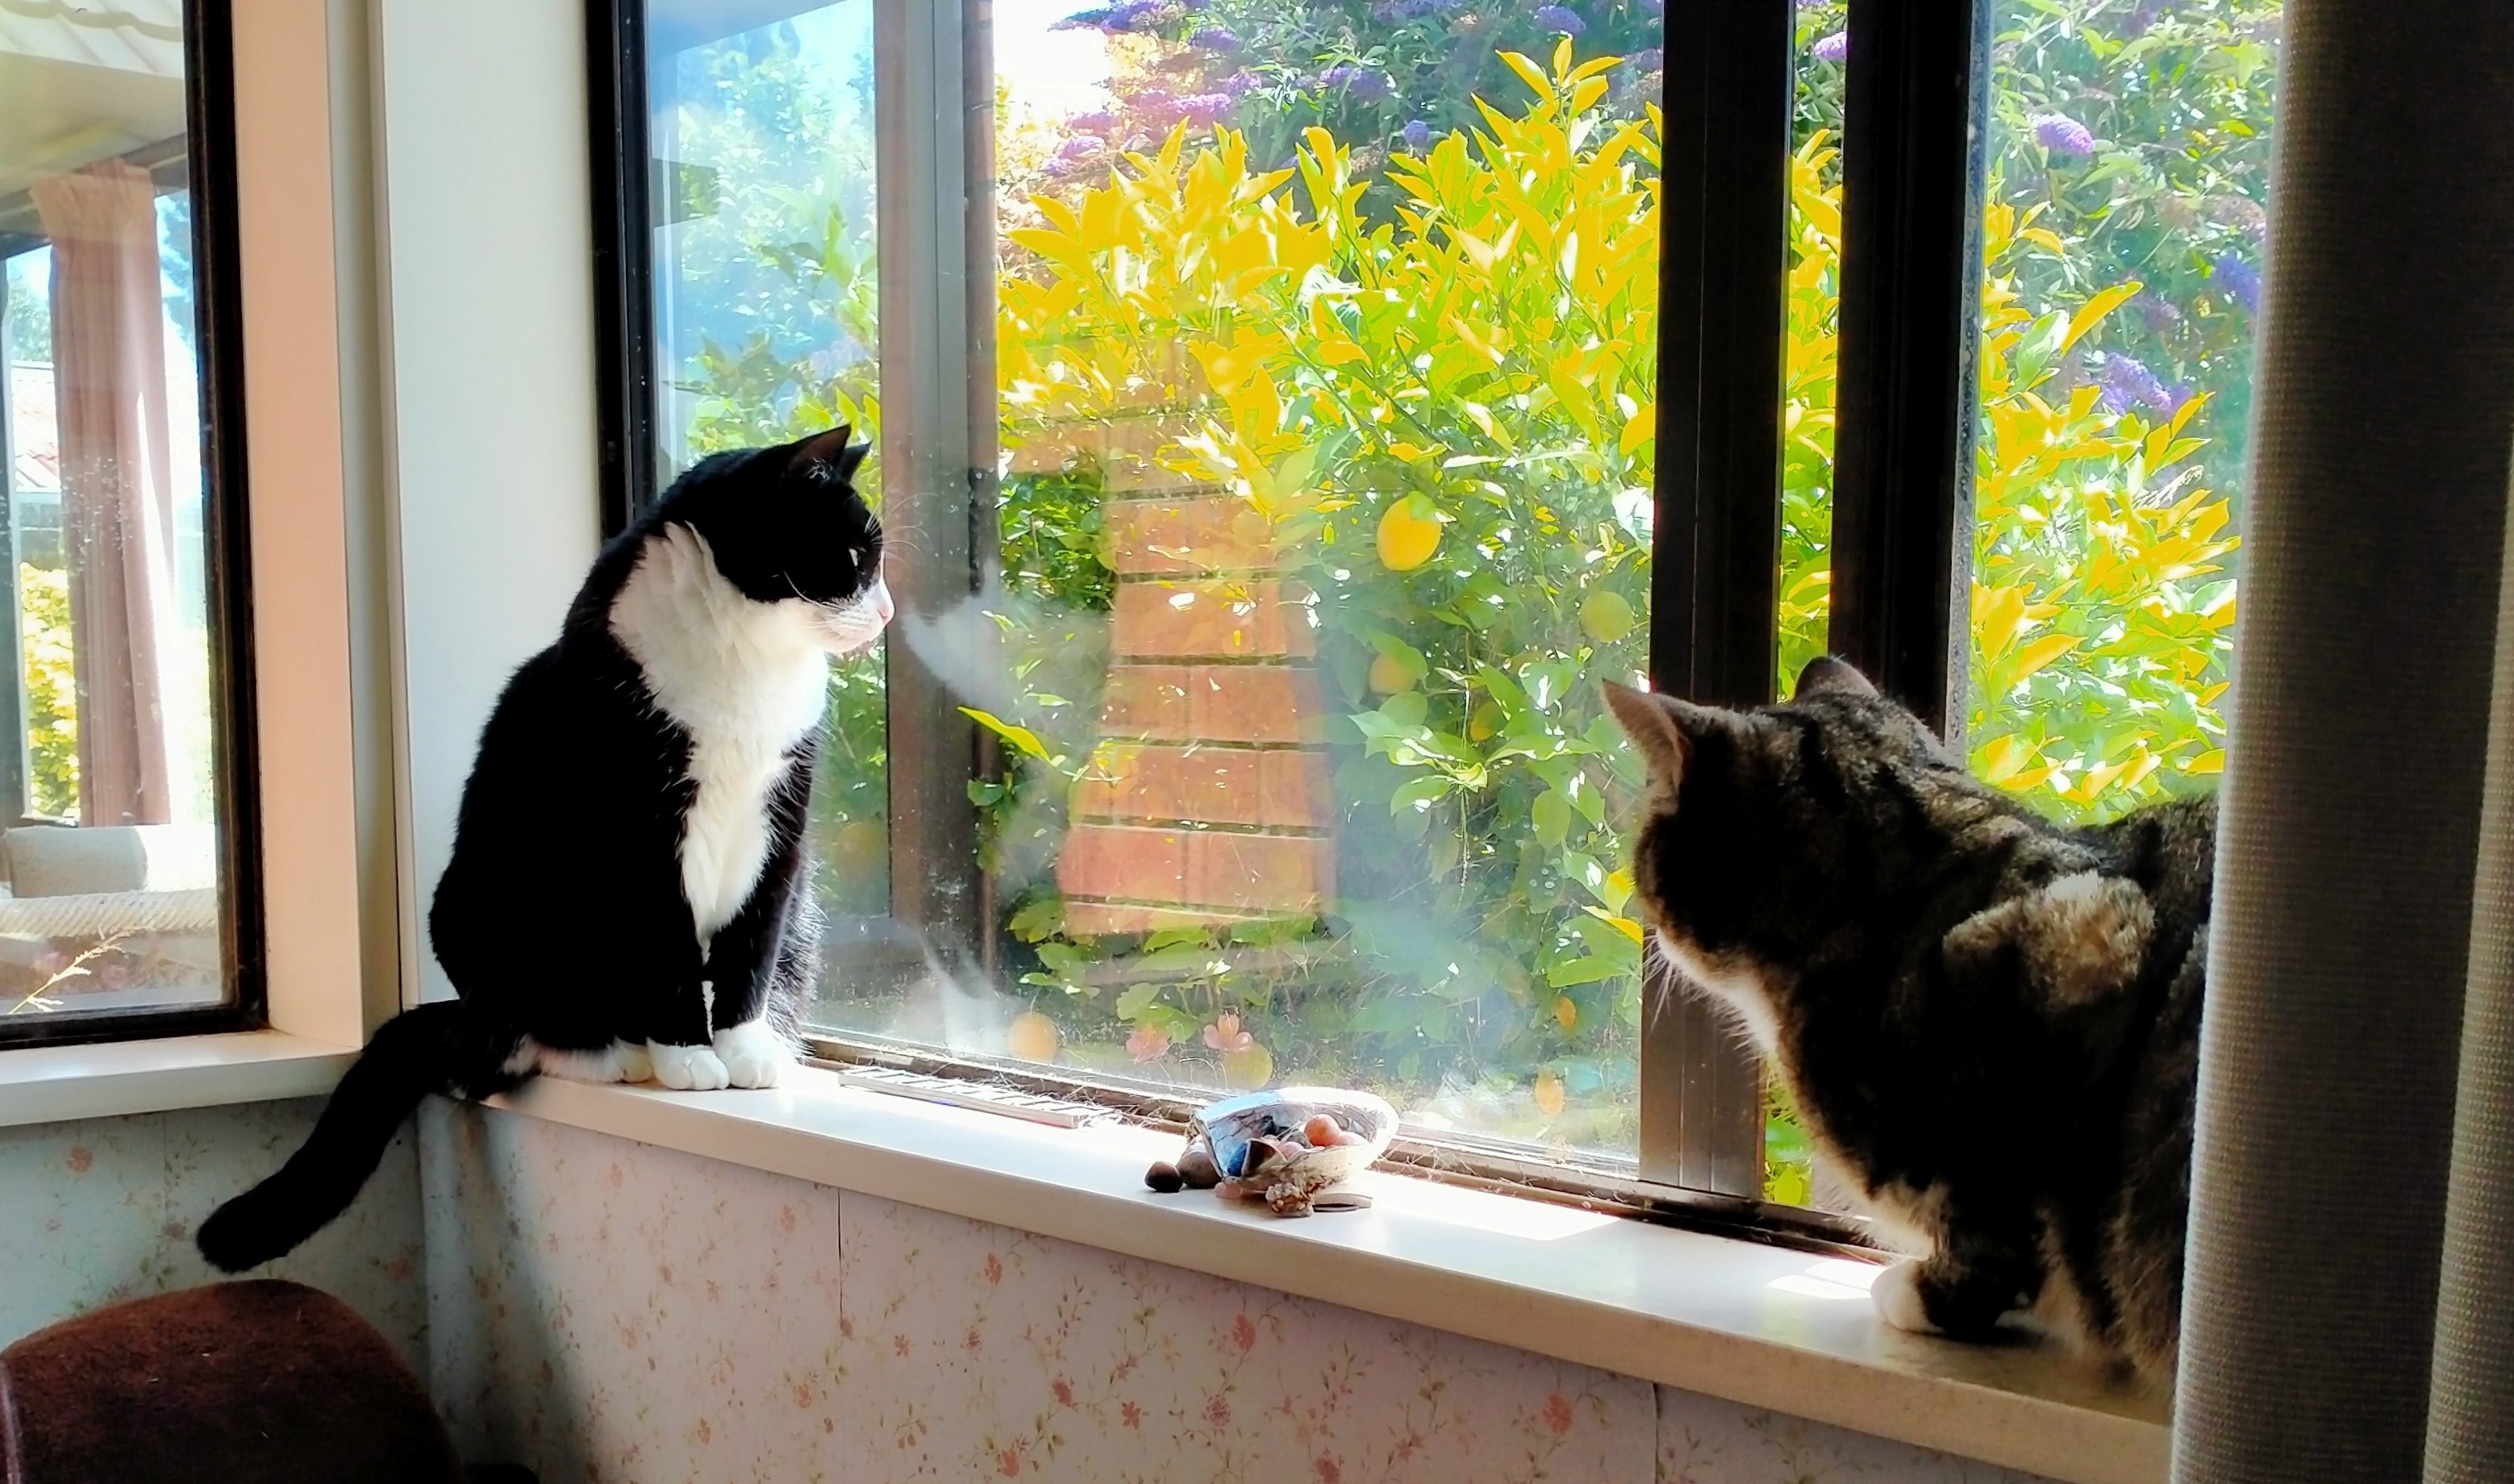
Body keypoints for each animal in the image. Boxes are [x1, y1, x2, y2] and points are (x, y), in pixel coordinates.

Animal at [196, 425, 890, 1273]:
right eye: (855, 555)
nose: (888, 611)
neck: (746, 668)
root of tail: (457, 1010)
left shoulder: (781, 824)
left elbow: (750, 948)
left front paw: (745, 1048)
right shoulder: (640, 834)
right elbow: (665, 954)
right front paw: (689, 1055)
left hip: (801, 916)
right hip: (489, 917)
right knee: (493, 1055)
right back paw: (614, 1053)